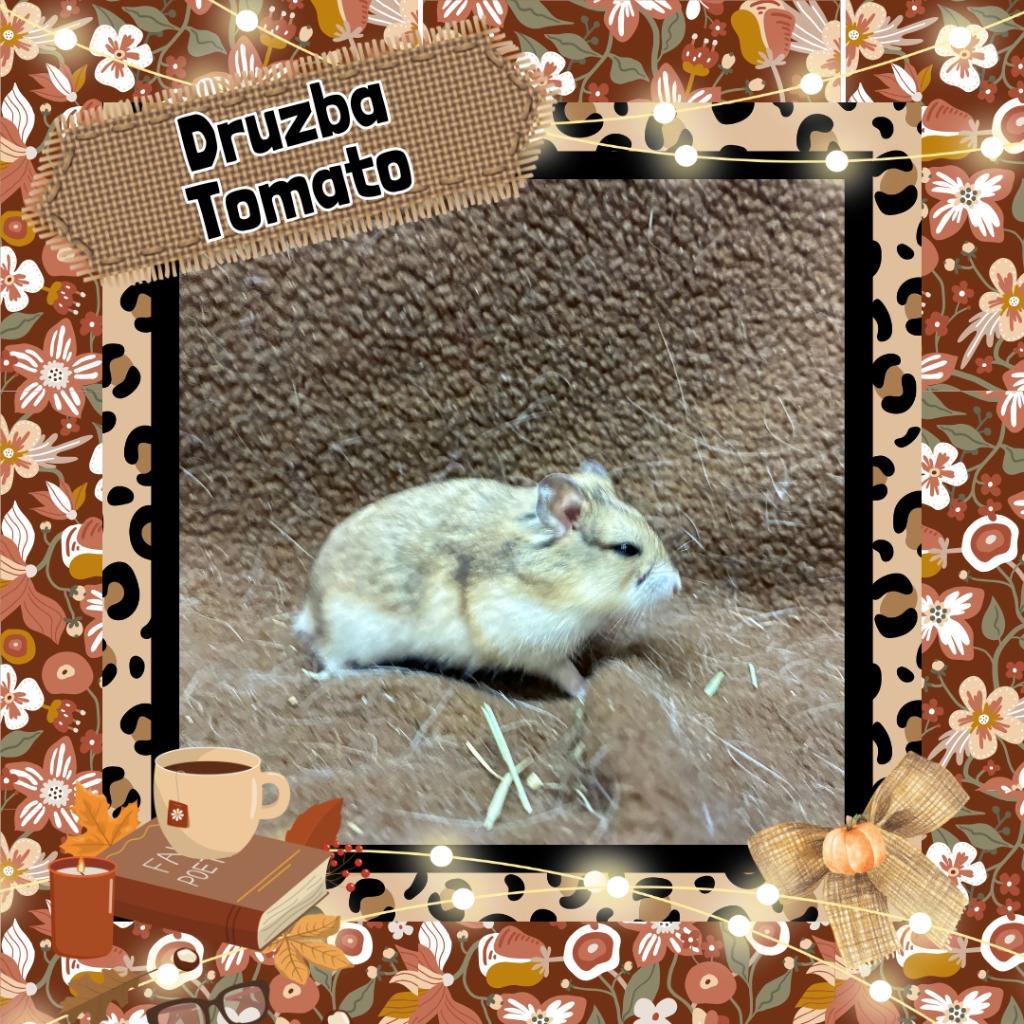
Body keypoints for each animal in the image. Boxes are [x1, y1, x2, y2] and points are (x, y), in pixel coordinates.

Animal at [295, 461, 681, 697]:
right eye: (627, 549)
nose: (678, 585)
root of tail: (311, 607)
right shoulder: (535, 645)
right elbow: (565, 671)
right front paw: (586, 689)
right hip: (348, 631)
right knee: (328, 656)